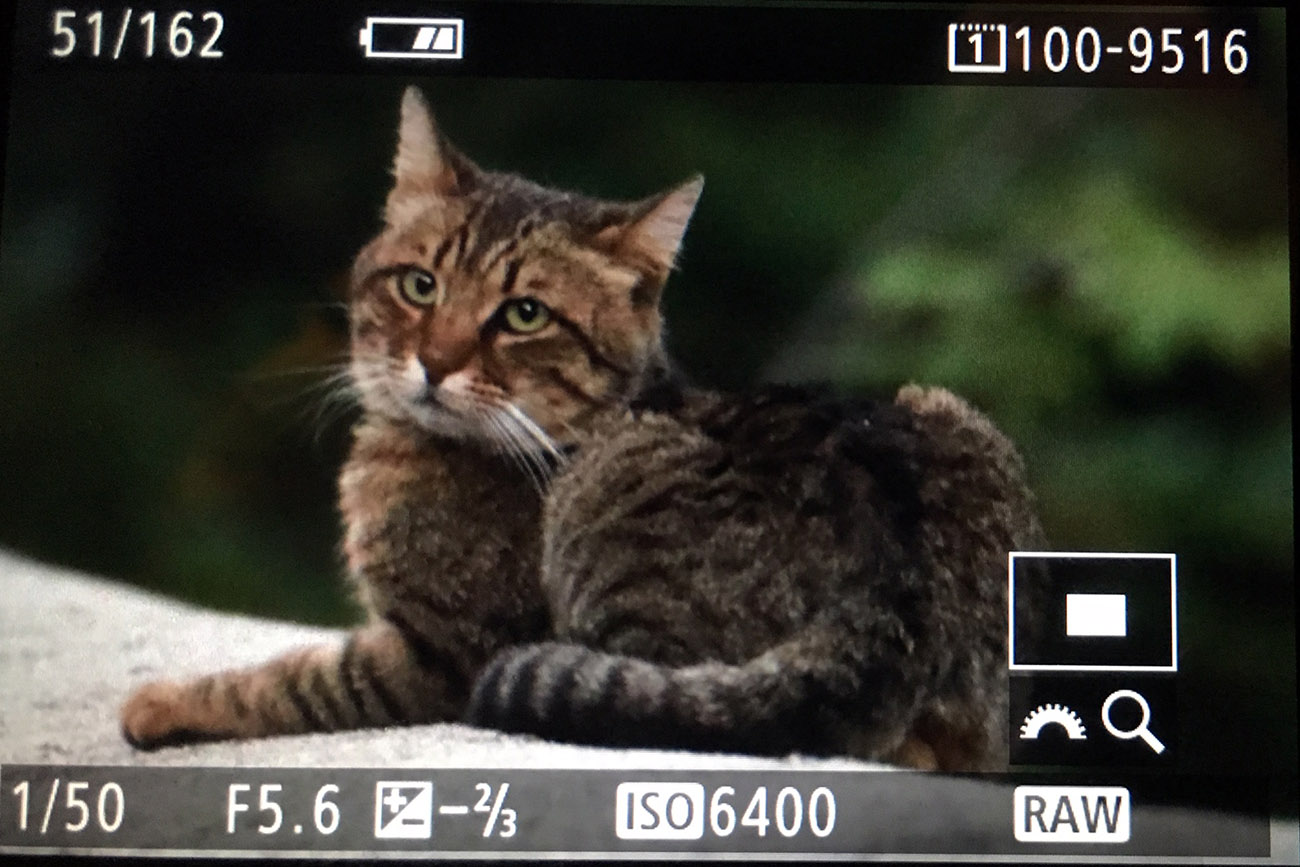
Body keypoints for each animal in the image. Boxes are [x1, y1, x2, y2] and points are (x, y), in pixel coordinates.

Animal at [119, 86, 1045, 764]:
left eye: (523, 314)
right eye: (420, 285)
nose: (435, 362)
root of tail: (896, 598)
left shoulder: (439, 652)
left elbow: (290, 678)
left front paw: (164, 702)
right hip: (945, 410)